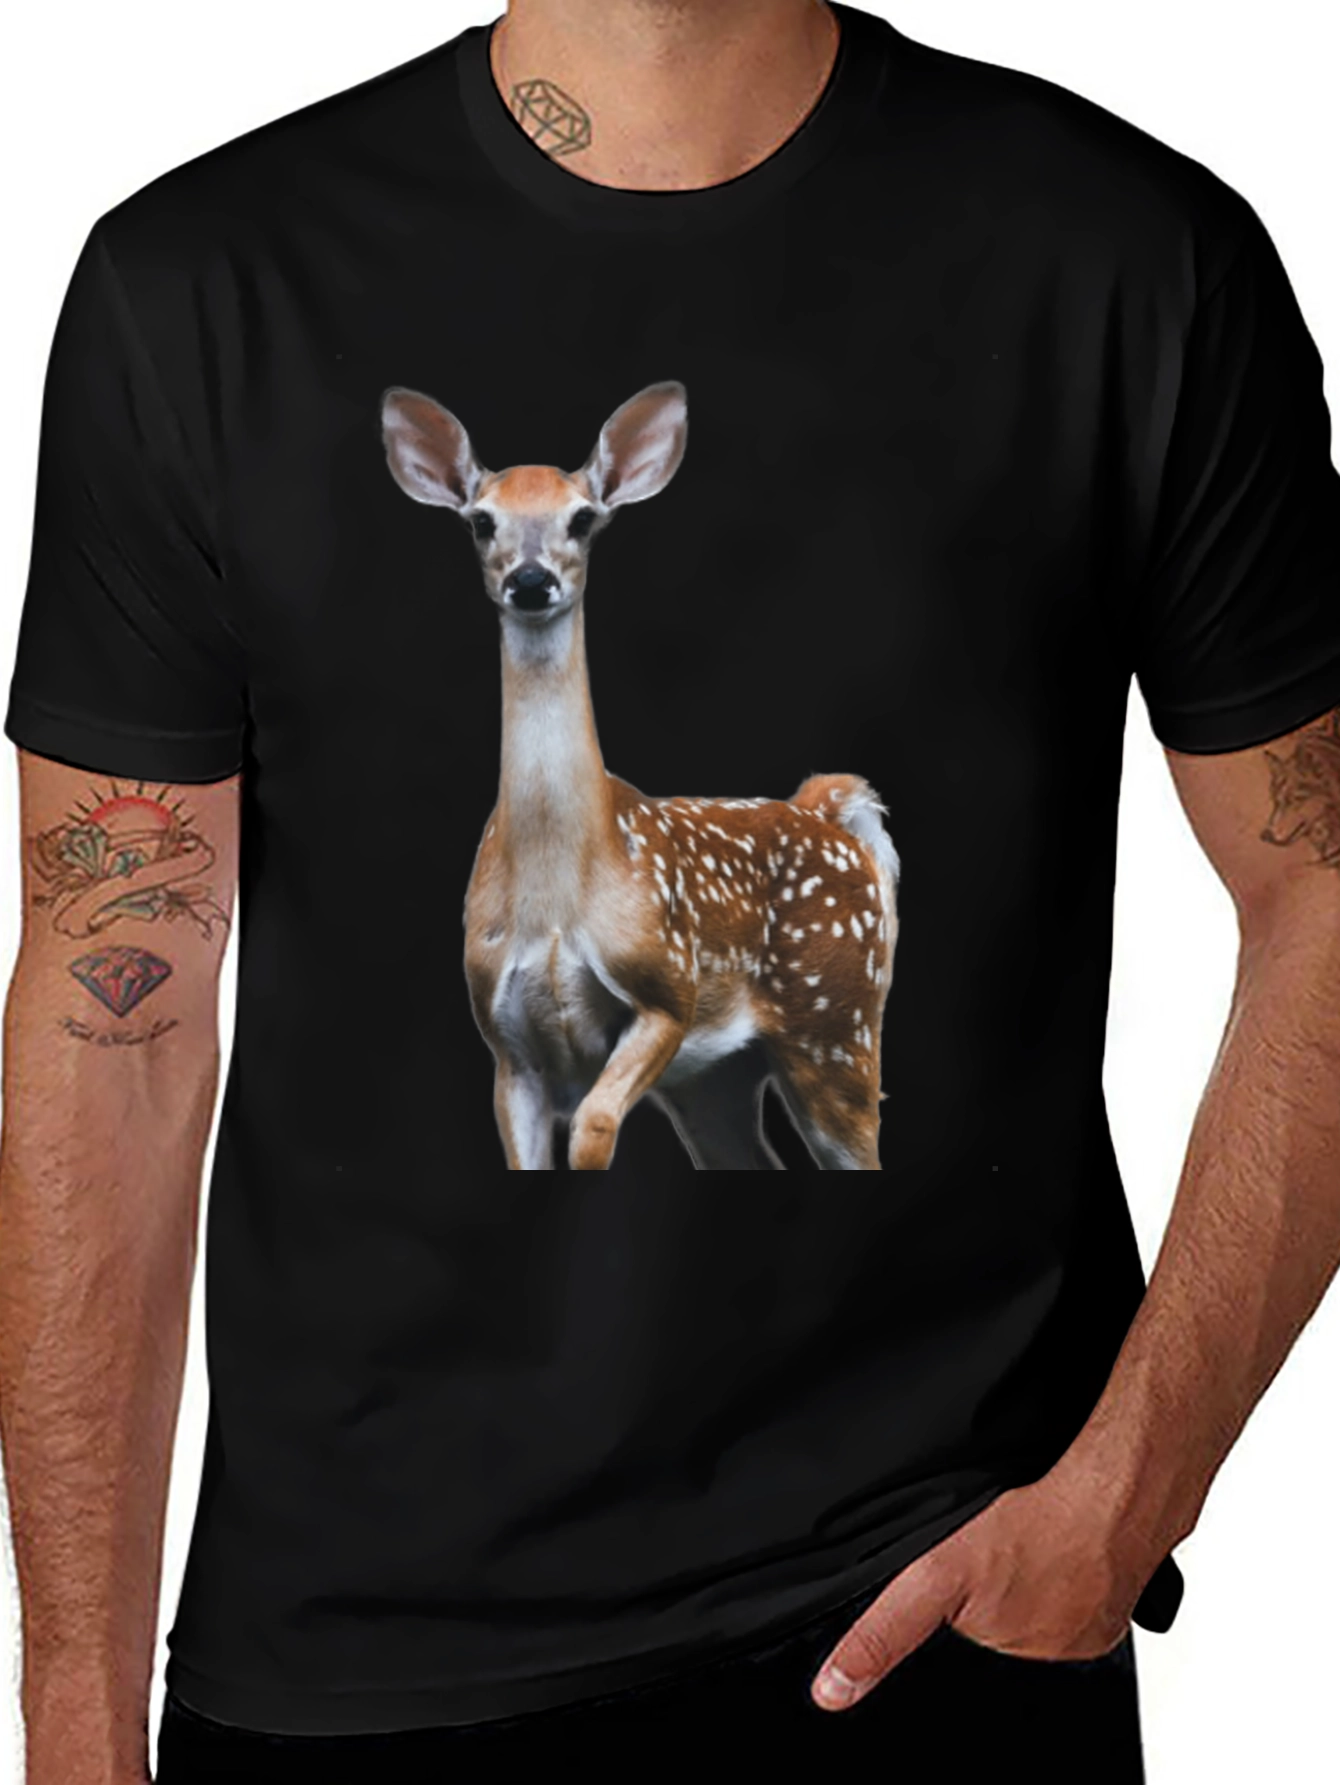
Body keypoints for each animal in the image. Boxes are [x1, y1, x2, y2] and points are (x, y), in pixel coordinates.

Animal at [385, 384, 898, 1171]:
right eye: (481, 522)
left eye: (583, 518)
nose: (529, 581)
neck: (557, 900)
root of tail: (826, 811)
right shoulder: (508, 1046)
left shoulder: (667, 990)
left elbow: (594, 1128)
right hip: (716, 1077)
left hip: (839, 1023)